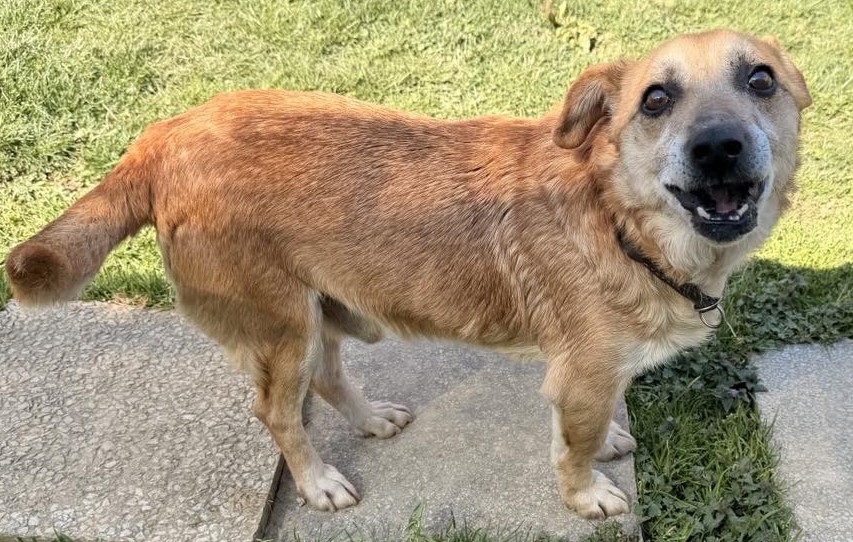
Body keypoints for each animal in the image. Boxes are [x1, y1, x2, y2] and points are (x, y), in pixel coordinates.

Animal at [5, 29, 810, 519]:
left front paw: (611, 437)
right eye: (655, 99)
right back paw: (319, 483)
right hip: (282, 331)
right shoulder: (579, 377)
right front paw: (587, 496)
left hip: (320, 311)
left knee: (329, 380)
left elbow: (593, 424)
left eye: (760, 80)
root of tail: (164, 134)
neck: (618, 217)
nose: (718, 146)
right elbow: (573, 450)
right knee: (277, 413)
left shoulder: (595, 371)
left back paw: (369, 421)